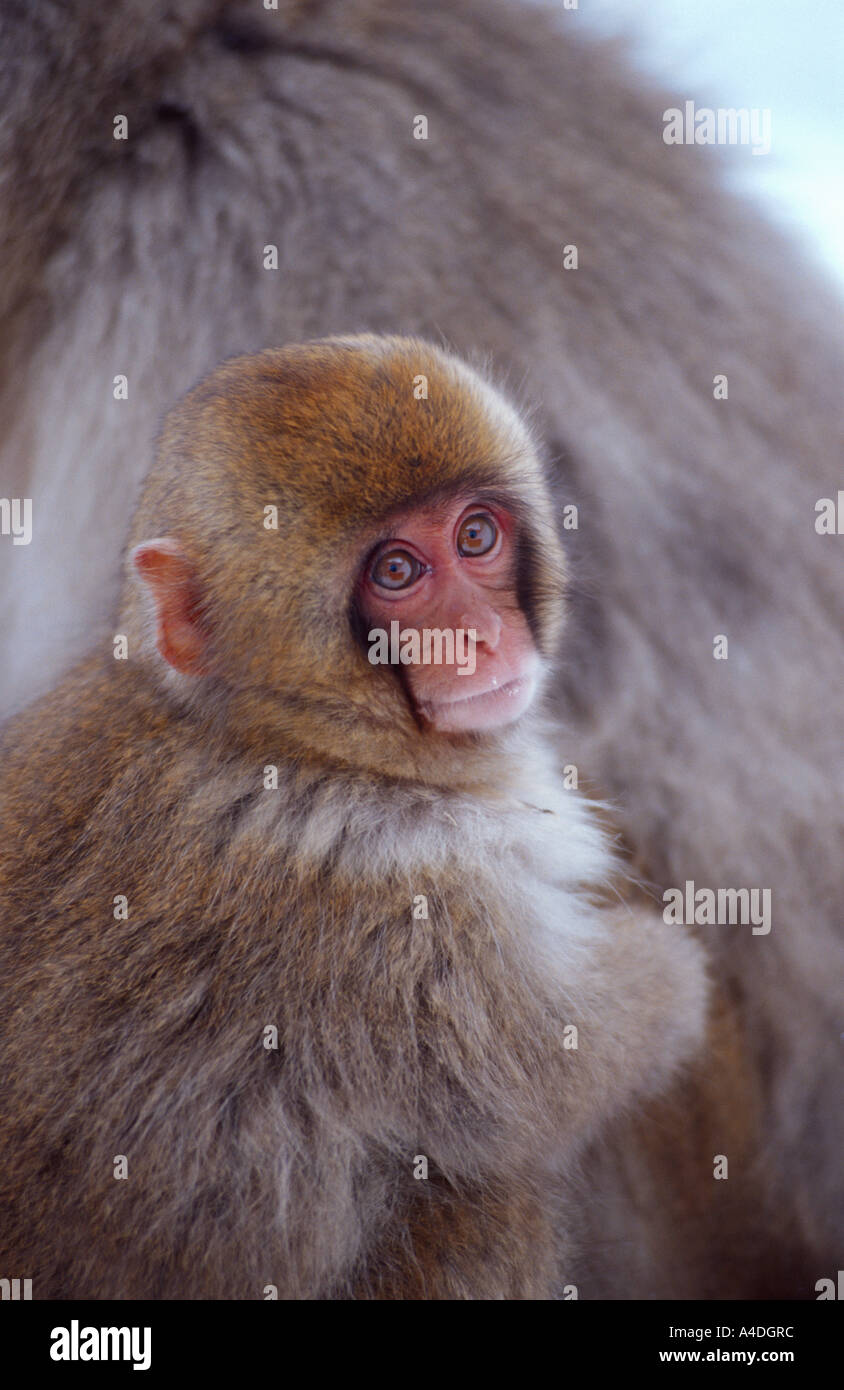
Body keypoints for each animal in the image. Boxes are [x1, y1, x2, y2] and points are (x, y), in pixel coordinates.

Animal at [0, 339, 706, 1301]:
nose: (480, 635)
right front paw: (675, 976)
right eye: (396, 572)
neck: (283, 738)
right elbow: (554, 1064)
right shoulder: (397, 903)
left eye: (476, 535)